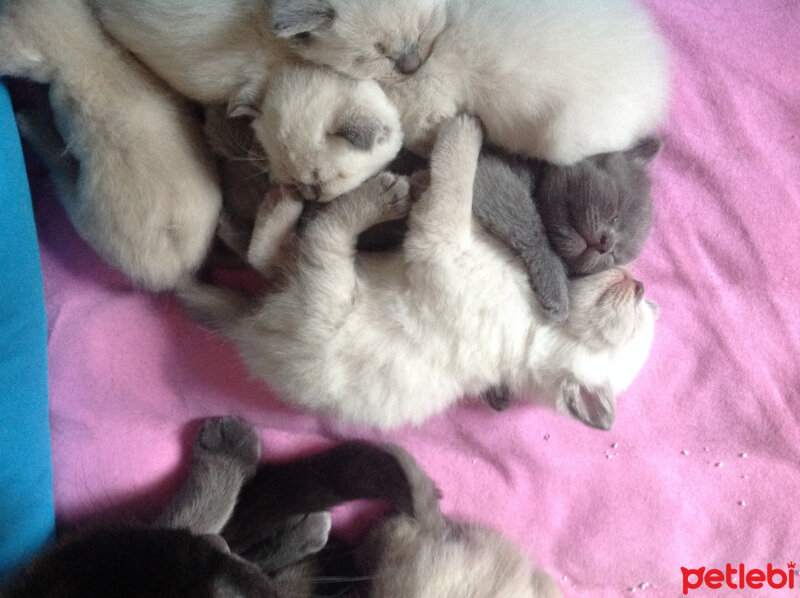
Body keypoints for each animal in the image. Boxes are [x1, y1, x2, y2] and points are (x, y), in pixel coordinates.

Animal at [180, 115, 656, 432]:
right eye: (645, 307)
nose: (641, 284)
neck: (533, 333)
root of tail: (248, 330)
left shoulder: (438, 244)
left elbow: (453, 185)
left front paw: (463, 131)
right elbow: (464, 190)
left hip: (327, 292)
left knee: (320, 235)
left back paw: (373, 198)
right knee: (271, 253)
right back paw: (283, 204)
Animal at [272, 0, 664, 164]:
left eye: (421, 27)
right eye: (378, 51)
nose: (412, 65)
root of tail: (662, 81)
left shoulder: (431, 107)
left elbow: (422, 137)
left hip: (562, 139)